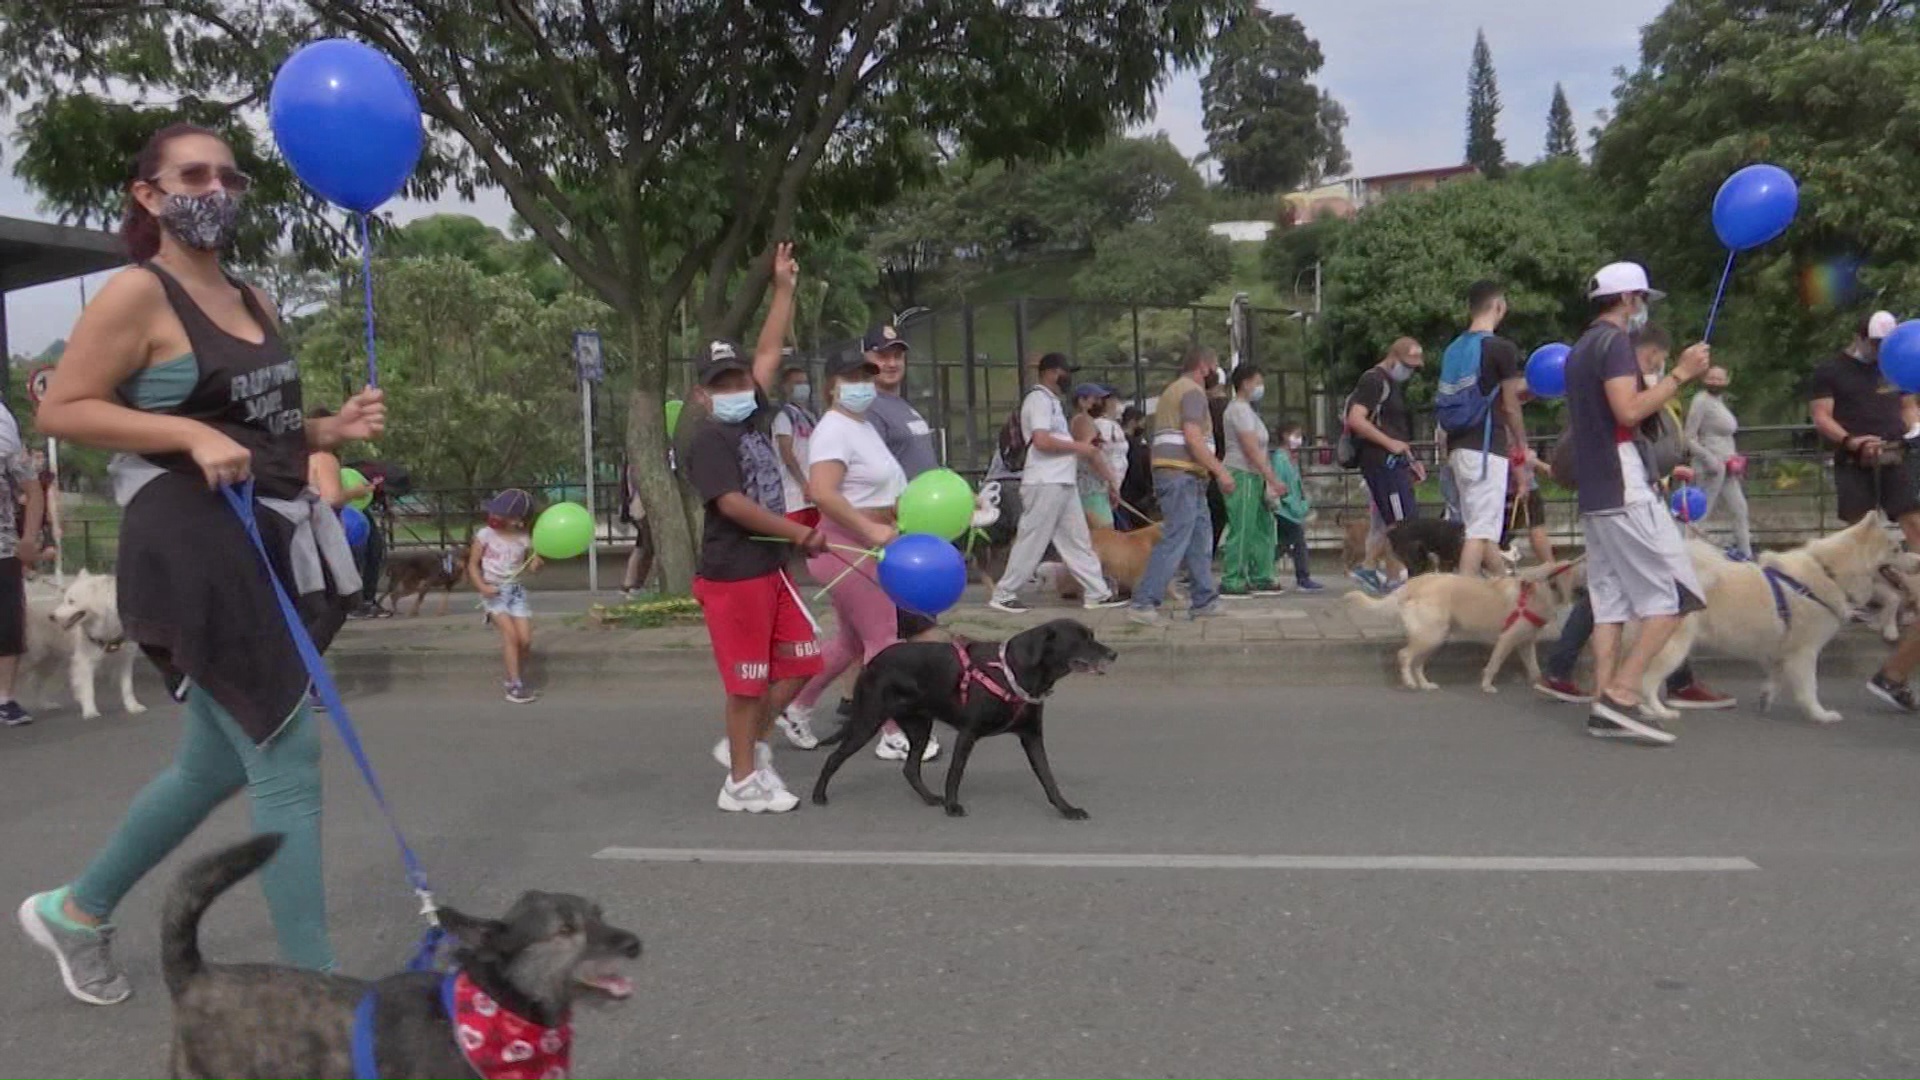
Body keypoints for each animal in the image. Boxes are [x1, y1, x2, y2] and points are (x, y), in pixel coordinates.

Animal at [23, 568, 144, 718]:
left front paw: (133, 707)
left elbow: (127, 688)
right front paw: (90, 711)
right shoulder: (85, 661)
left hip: (50, 660)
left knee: (36, 682)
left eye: (71, 601)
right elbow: (88, 689)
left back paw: (46, 704)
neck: (108, 627)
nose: (51, 617)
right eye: (65, 600)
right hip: (32, 658)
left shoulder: (125, 659)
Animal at [806, 614, 1113, 814]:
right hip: (868, 720)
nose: (1113, 654)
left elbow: (1048, 778)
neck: (1013, 671)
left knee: (910, 768)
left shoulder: (1032, 736)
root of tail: (871, 664)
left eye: (1092, 636)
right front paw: (953, 806)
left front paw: (1066, 808)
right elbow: (956, 772)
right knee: (834, 758)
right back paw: (818, 795)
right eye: (1080, 640)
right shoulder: (968, 733)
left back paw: (930, 798)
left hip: (919, 726)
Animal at [1344, 564, 1582, 687]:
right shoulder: (1506, 639)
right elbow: (1494, 664)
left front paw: (1540, 683)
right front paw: (1487, 685)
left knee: (1417, 662)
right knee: (1404, 655)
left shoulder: (1525, 644)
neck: (1539, 590)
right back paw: (1410, 682)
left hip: (1435, 637)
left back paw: (1424, 684)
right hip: (1432, 635)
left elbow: (1534, 668)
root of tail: (1414, 582)